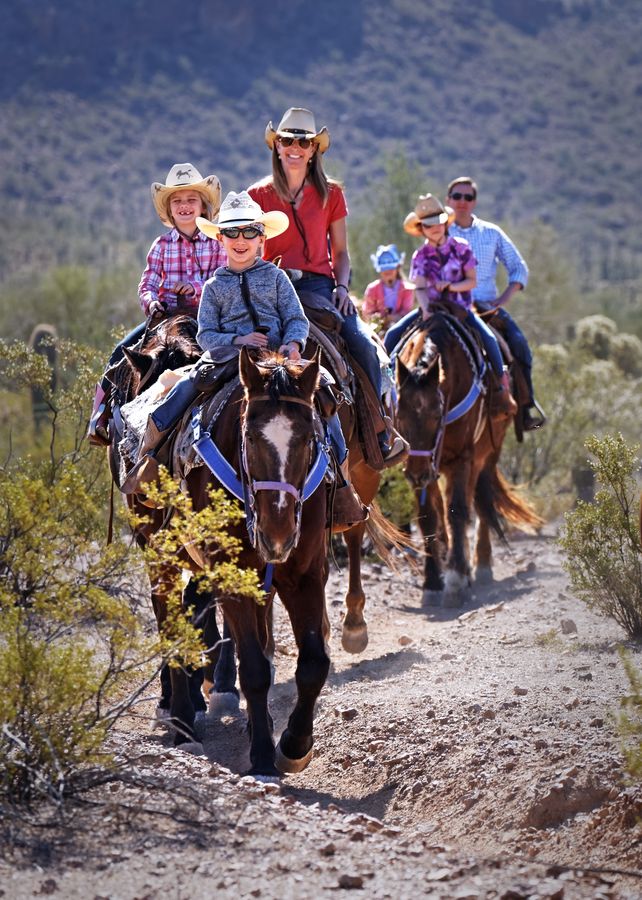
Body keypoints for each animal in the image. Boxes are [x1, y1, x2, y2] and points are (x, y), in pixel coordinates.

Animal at [396, 312, 540, 608]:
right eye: (399, 416)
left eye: (436, 415)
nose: (416, 473)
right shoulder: (426, 469)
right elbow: (429, 517)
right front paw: (432, 583)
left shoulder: (462, 458)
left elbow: (459, 511)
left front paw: (454, 580)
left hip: (486, 453)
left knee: (480, 502)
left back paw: (479, 566)